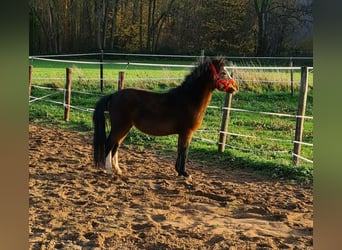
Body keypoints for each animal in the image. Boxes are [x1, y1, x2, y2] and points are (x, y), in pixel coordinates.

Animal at [93, 56, 238, 178]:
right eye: (223, 73)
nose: (235, 87)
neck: (188, 99)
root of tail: (113, 95)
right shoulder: (187, 132)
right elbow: (184, 151)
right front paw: (184, 173)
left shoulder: (182, 133)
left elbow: (180, 150)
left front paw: (179, 171)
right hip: (120, 127)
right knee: (109, 144)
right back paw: (109, 171)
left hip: (125, 128)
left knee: (115, 146)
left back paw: (118, 170)